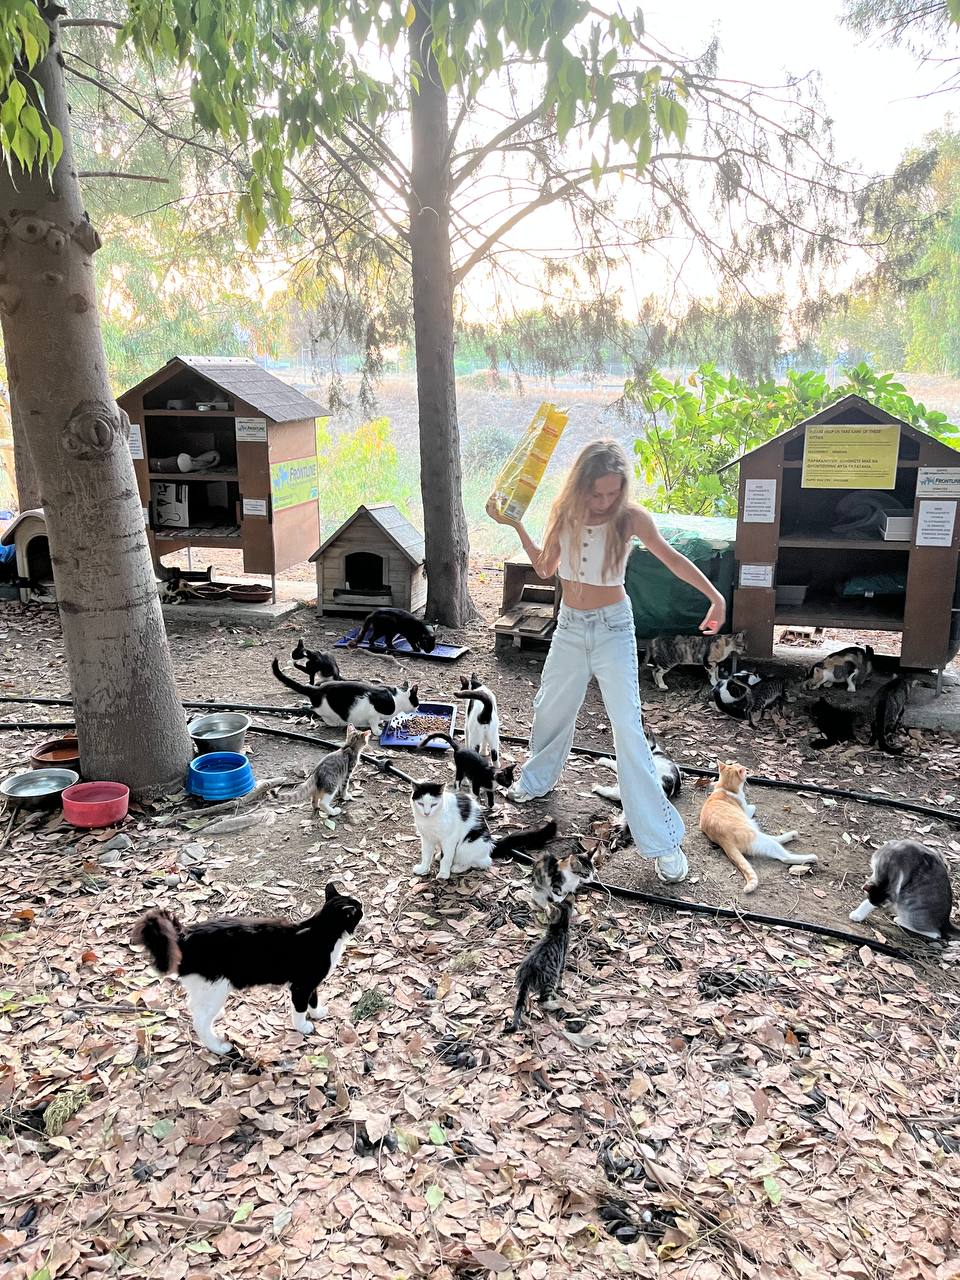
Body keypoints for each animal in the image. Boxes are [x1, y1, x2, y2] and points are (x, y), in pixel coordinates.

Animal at [131, 881, 363, 1056]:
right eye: (358, 910)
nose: (364, 909)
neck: (321, 931)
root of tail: (183, 936)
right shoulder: (301, 984)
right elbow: (300, 1007)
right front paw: (303, 1026)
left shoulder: (311, 983)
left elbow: (313, 999)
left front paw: (317, 1013)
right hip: (215, 988)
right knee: (200, 1021)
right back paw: (218, 1047)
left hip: (204, 987)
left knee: (194, 1006)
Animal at [272, 659, 418, 732]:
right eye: (417, 701)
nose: (417, 708)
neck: (397, 697)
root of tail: (317, 689)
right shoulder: (374, 712)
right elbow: (374, 723)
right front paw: (378, 731)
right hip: (327, 709)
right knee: (315, 711)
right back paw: (337, 723)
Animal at [410, 781, 556, 880]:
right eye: (421, 804)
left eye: (433, 804)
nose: (426, 813)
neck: (430, 820)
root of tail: (491, 843)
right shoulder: (426, 838)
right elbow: (426, 855)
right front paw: (423, 869)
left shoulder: (450, 840)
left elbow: (447, 859)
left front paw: (444, 874)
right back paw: (439, 855)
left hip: (466, 847)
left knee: (481, 862)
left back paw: (458, 867)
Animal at [508, 898, 573, 1032]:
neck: (557, 929)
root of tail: (527, 975)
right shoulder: (563, 958)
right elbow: (562, 974)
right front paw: (561, 985)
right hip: (550, 981)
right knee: (542, 1001)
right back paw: (554, 1003)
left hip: (521, 984)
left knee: (524, 997)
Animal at [698, 760, 818, 894]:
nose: (747, 772)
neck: (725, 787)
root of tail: (723, 840)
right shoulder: (746, 810)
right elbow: (753, 806)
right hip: (758, 836)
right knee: (784, 856)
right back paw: (810, 856)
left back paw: (792, 835)